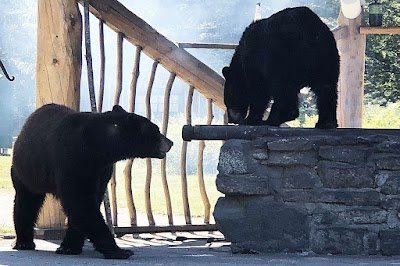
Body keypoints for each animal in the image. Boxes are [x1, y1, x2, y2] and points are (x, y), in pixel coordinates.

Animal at [10, 103, 173, 258]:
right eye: (156, 130)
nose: (170, 142)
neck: (99, 147)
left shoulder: (102, 171)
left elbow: (88, 202)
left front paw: (69, 246)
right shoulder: (73, 159)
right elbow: (80, 202)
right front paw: (119, 251)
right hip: (26, 173)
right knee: (26, 202)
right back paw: (24, 242)